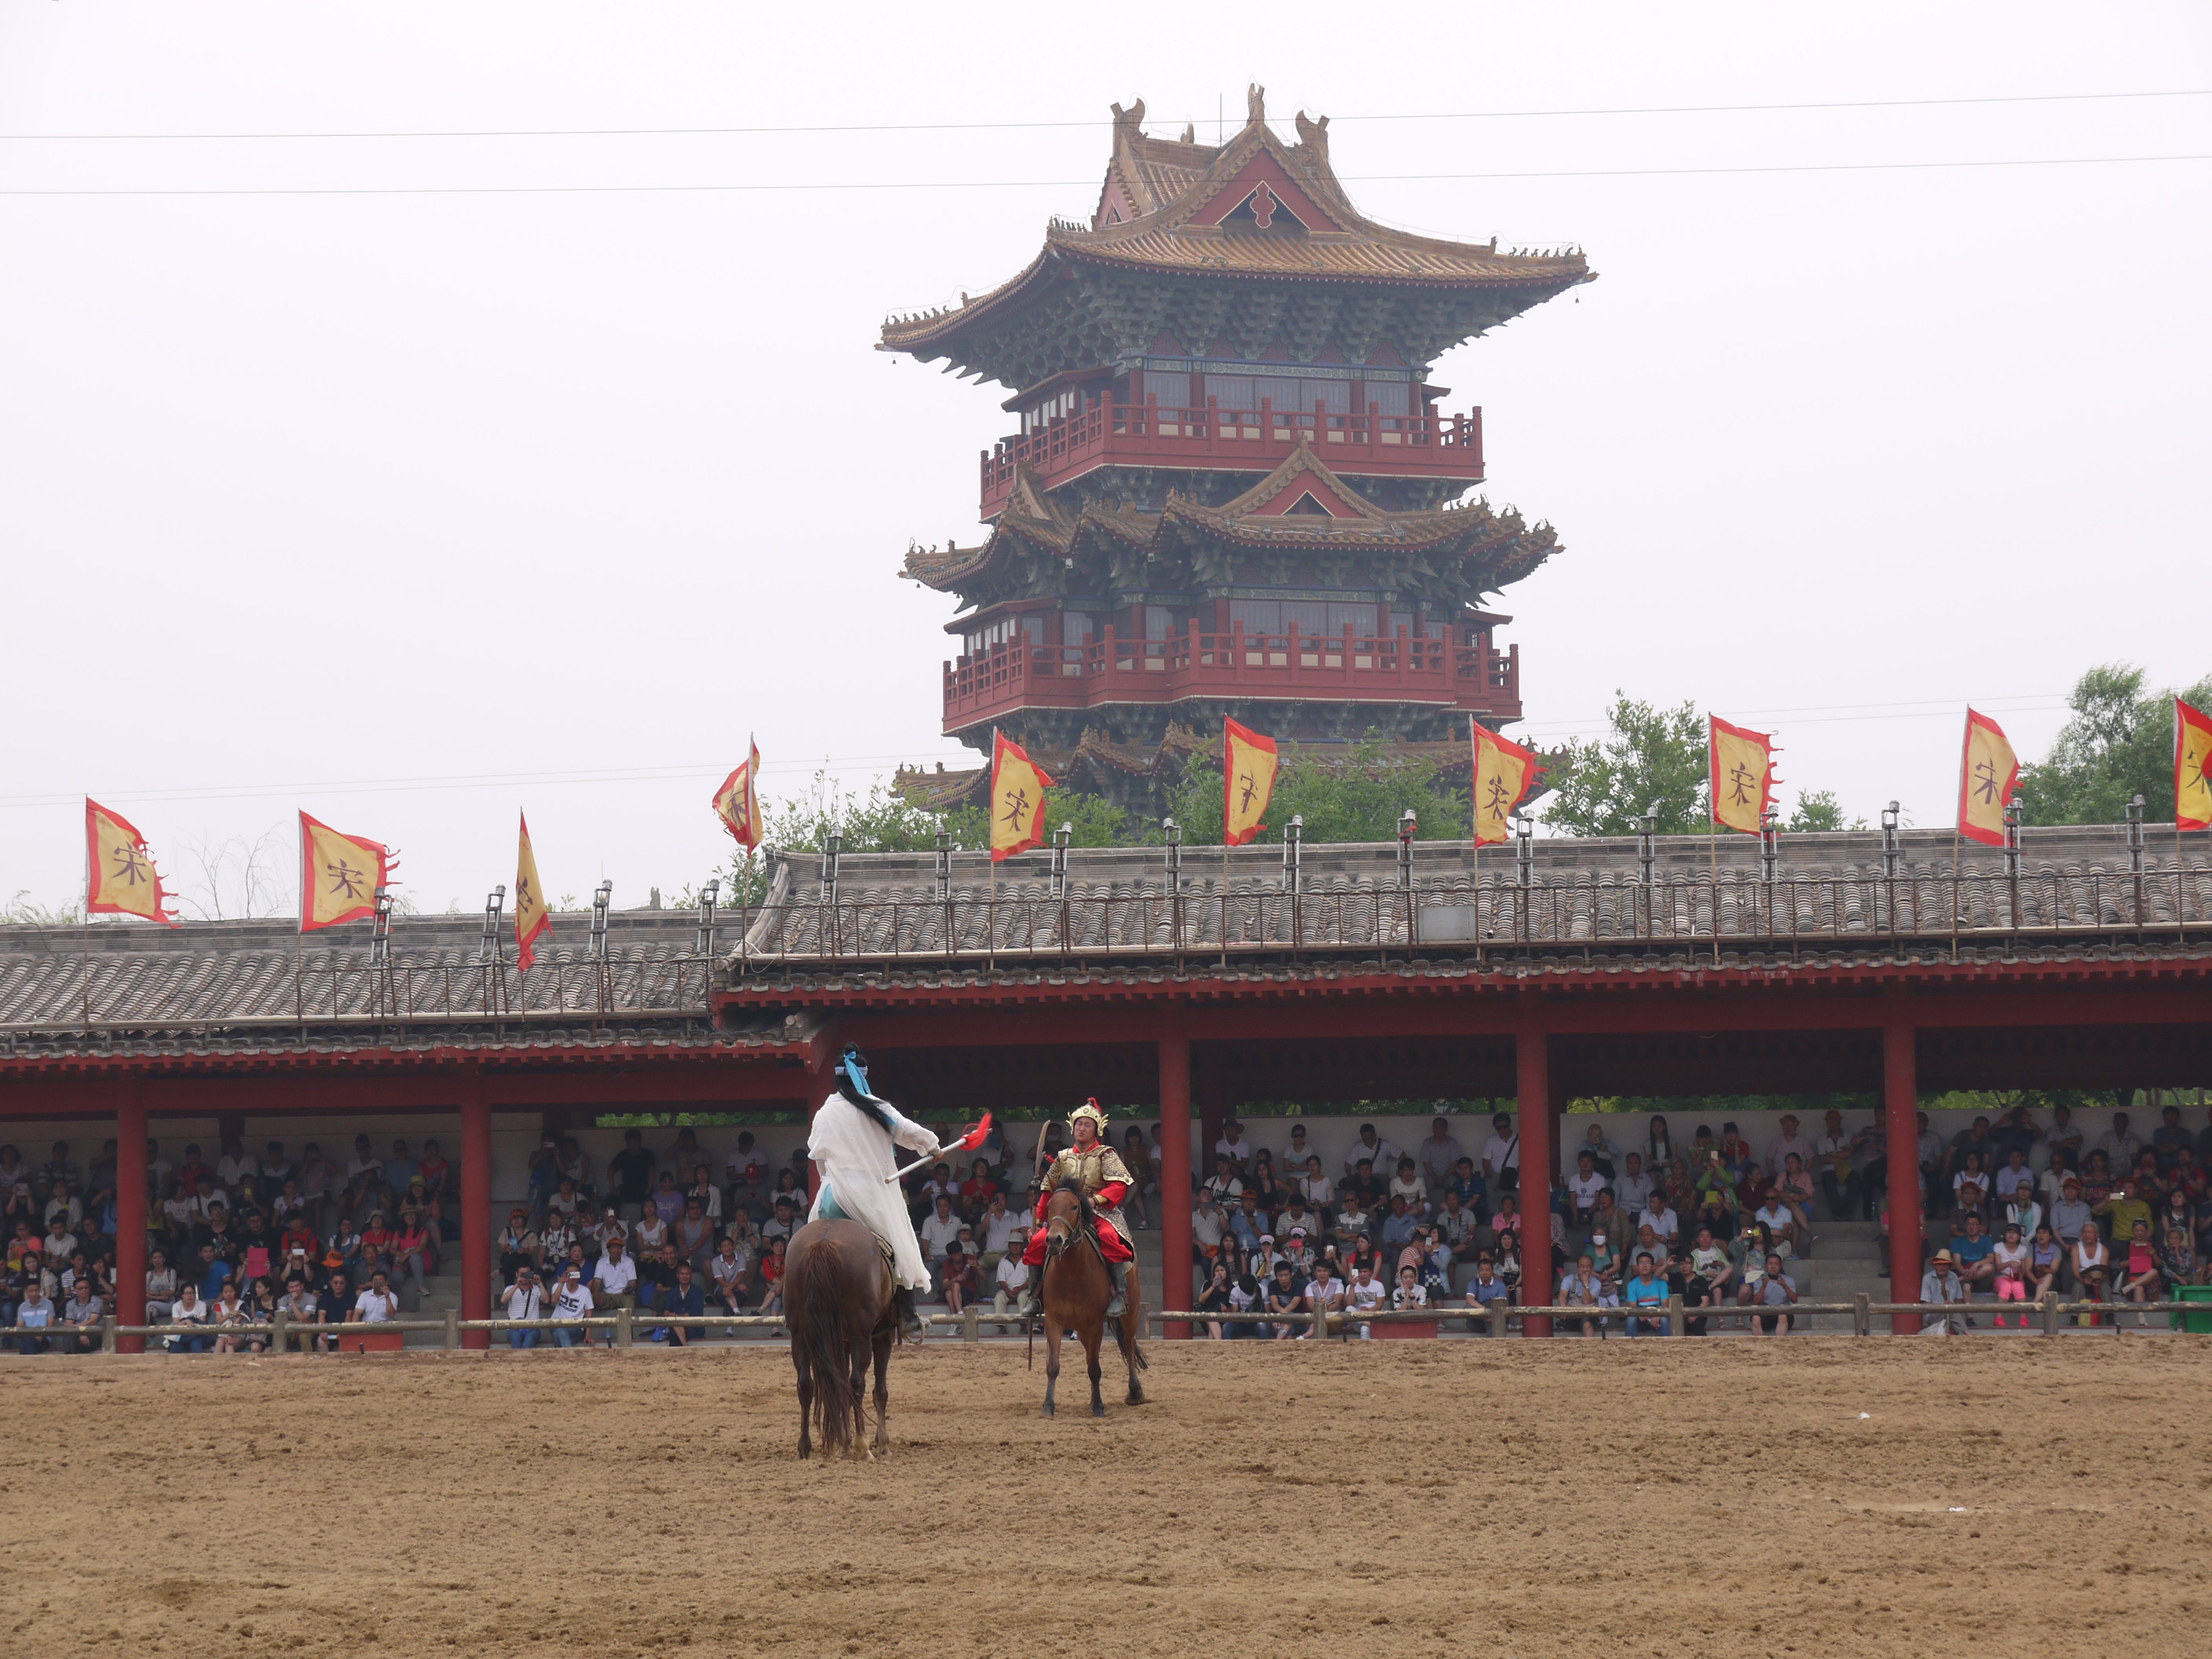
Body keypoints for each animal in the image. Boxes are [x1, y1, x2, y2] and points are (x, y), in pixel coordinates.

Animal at [787, 1212, 898, 1459]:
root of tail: (823, 1243)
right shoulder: (882, 1336)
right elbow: (880, 1391)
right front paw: (882, 1444)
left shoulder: (841, 1341)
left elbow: (840, 1387)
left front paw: (844, 1443)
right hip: (861, 1335)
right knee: (857, 1382)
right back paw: (863, 1446)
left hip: (799, 1334)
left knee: (806, 1383)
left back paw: (804, 1447)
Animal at [1031, 1177, 1141, 1424]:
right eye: (1049, 1206)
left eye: (1074, 1206)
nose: (1054, 1240)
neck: (1073, 1273)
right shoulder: (1054, 1321)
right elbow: (1053, 1366)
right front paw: (1048, 1406)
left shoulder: (1095, 1323)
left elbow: (1095, 1368)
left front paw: (1099, 1407)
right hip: (1080, 1329)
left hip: (1130, 1314)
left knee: (1129, 1345)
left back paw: (1135, 1392)